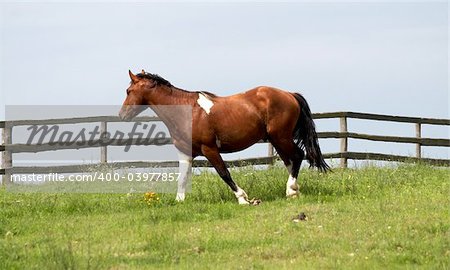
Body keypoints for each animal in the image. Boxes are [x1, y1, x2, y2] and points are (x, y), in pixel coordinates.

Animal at [119, 69, 328, 205]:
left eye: (129, 91)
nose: (122, 115)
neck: (187, 112)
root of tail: (290, 94)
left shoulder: (210, 149)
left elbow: (224, 173)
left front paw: (243, 198)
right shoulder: (185, 153)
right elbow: (182, 178)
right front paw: (179, 201)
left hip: (280, 137)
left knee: (298, 156)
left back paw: (291, 190)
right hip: (277, 139)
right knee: (290, 160)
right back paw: (293, 191)